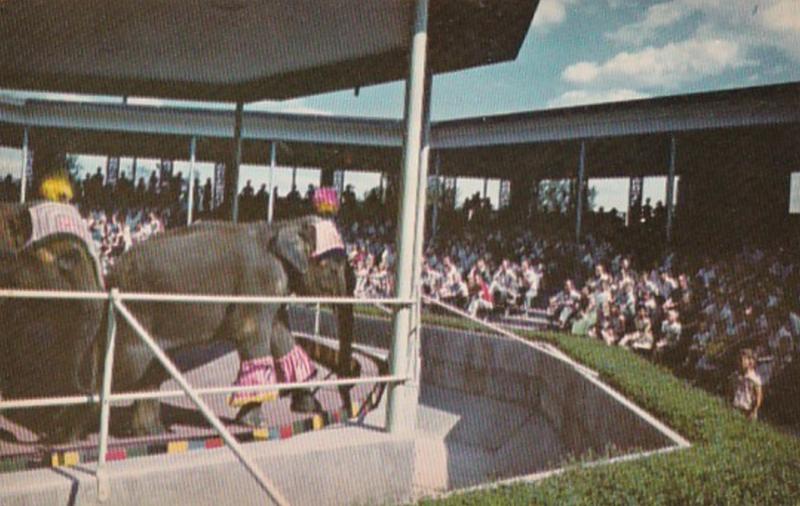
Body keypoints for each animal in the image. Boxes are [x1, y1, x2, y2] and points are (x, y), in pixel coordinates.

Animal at [104, 213, 354, 434]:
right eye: (333, 269)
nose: (346, 404)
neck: (280, 225)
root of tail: (111, 273)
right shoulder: (258, 282)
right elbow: (253, 337)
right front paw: (254, 423)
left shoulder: (275, 290)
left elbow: (282, 338)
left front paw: (311, 408)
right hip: (135, 313)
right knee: (126, 365)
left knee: (150, 369)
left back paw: (151, 431)